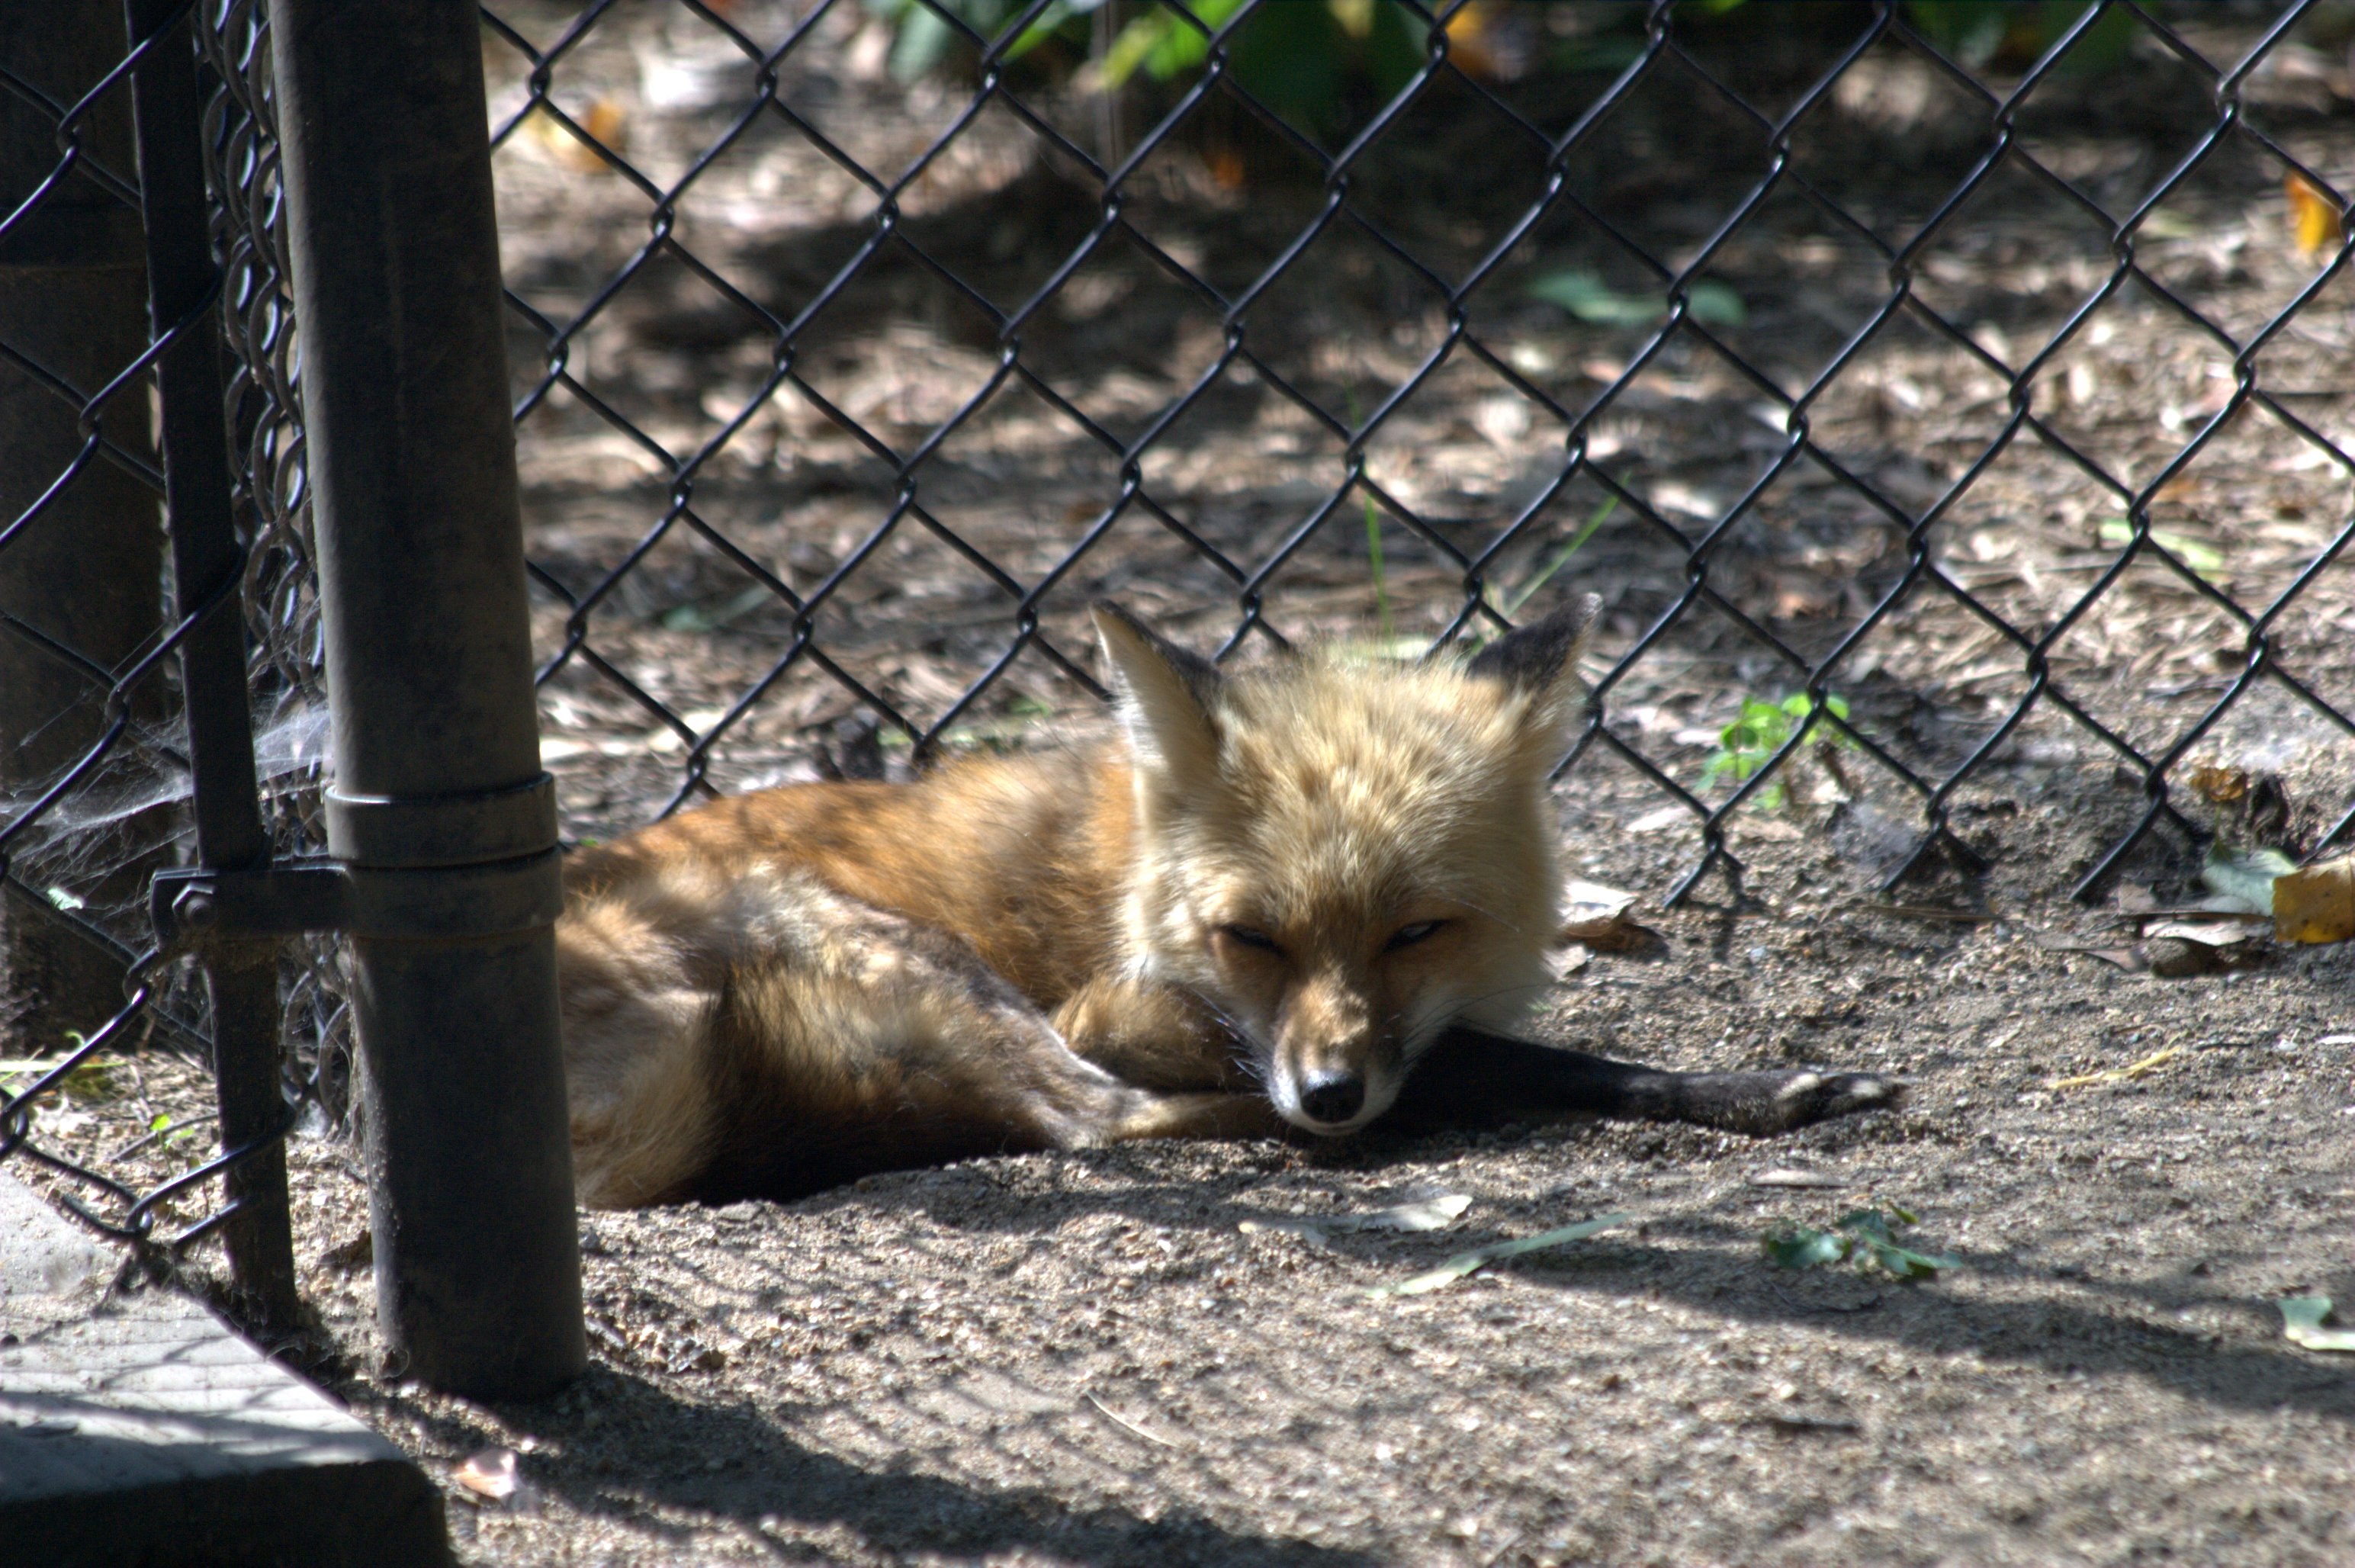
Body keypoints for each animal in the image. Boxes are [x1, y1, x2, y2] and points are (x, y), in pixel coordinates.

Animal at [555, 594, 1901, 1208]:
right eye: (1252, 935)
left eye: (1417, 932)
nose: (1332, 1093)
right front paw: (1745, 1089)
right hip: (888, 947)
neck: (1119, 880)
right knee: (1099, 1126)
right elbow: (1519, 1059)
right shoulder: (1112, 1014)